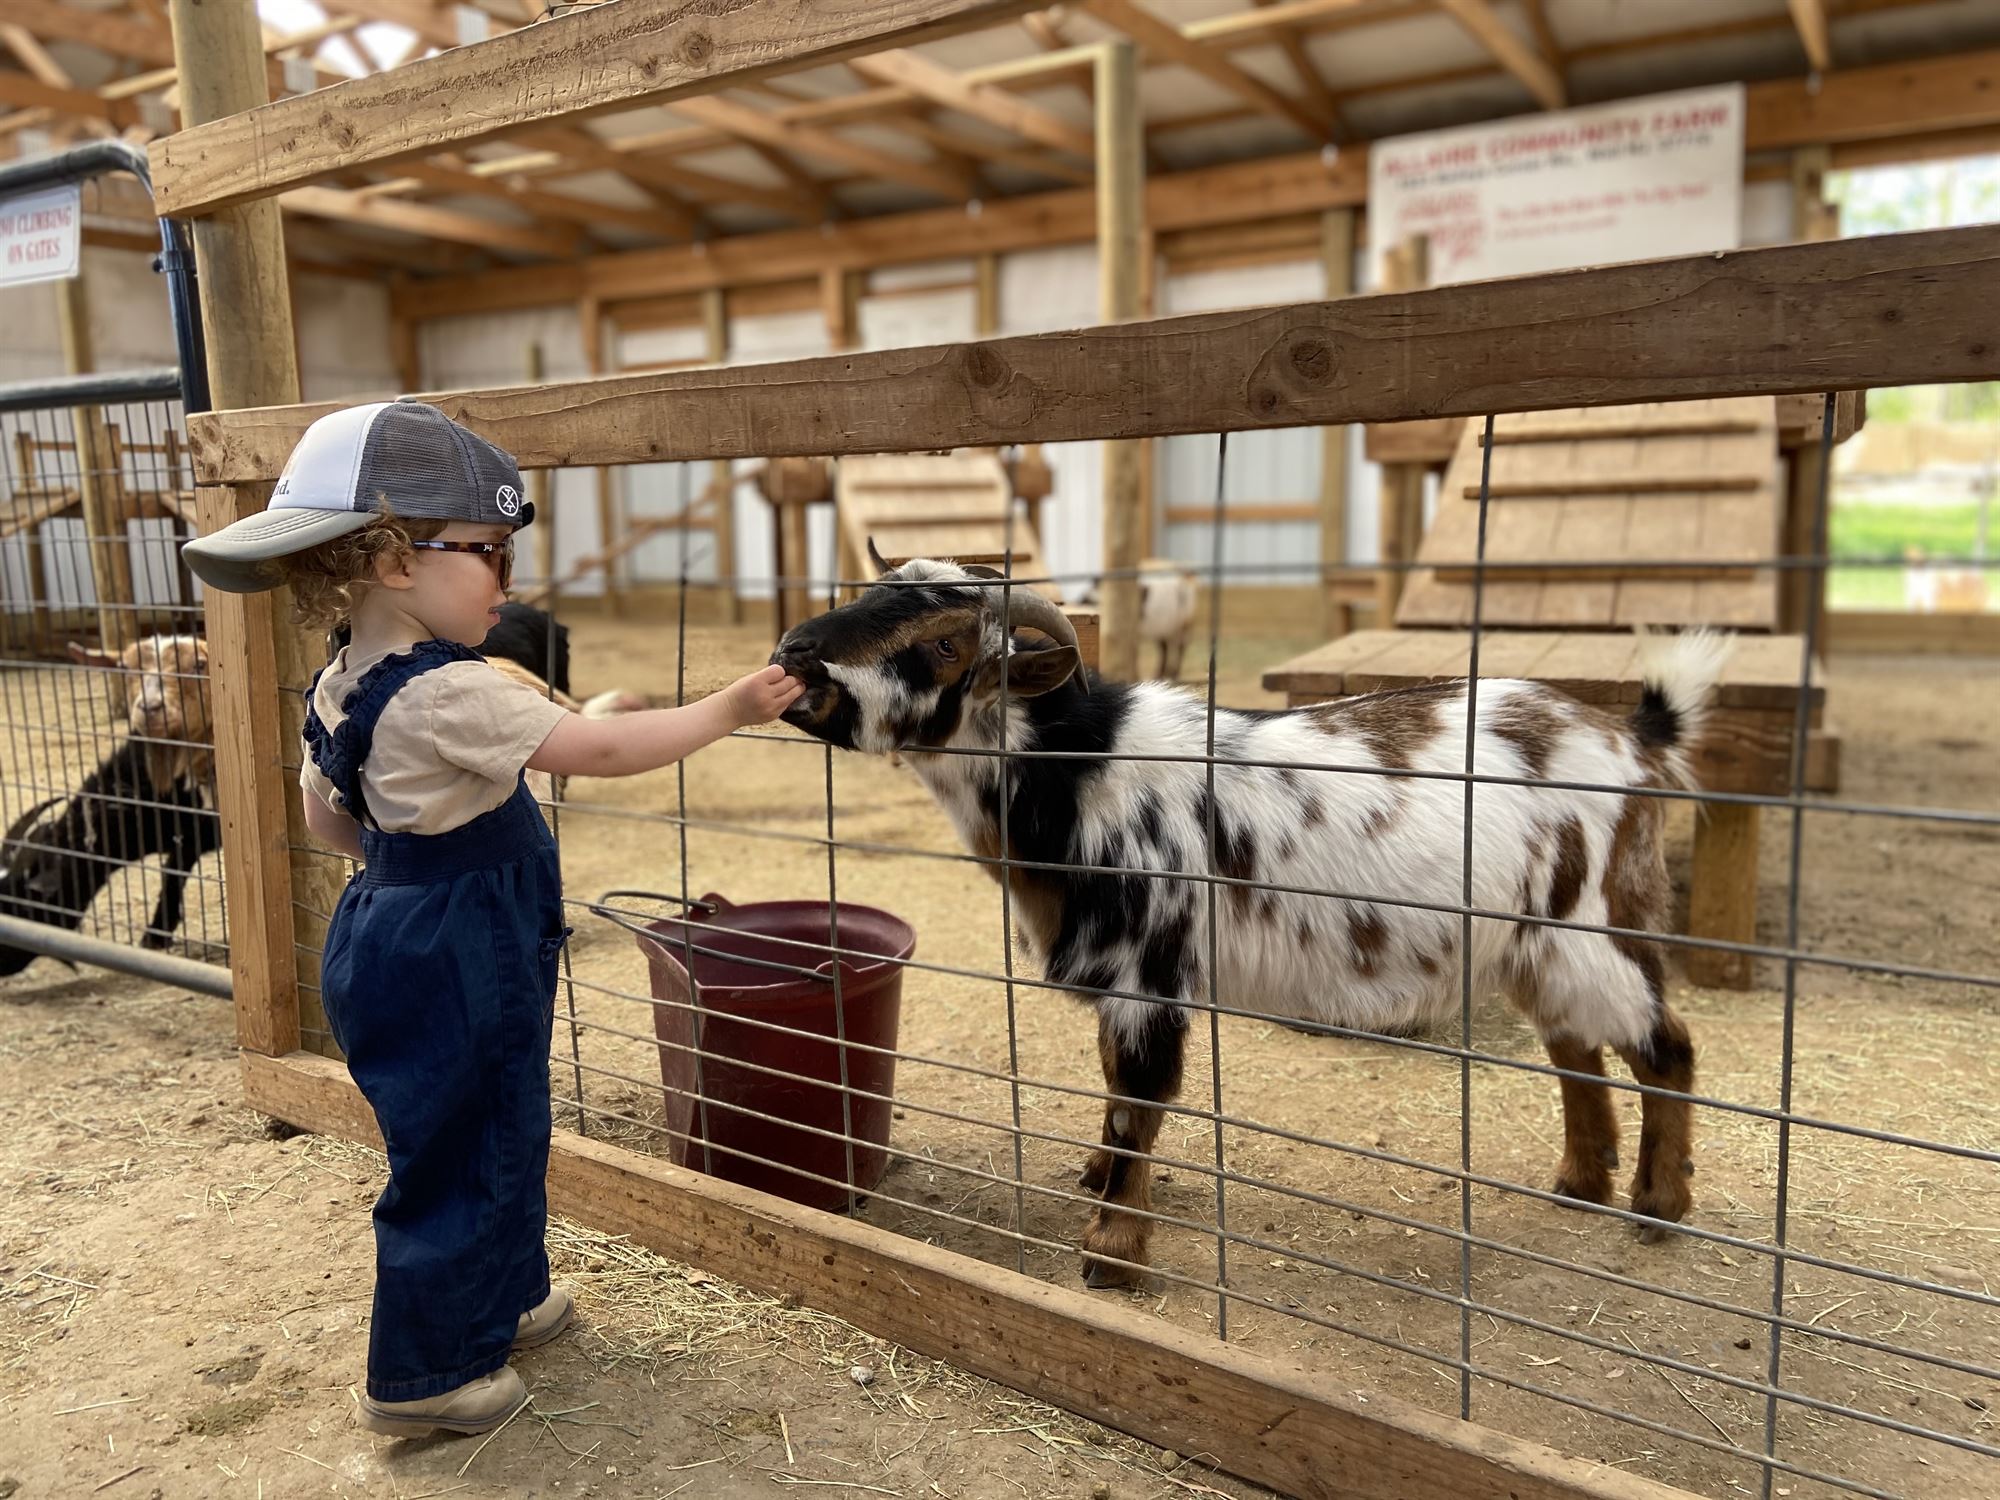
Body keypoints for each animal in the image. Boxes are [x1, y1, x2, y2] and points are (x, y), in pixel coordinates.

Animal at [772, 560, 1728, 1288]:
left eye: (944, 643)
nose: (794, 656)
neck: (1077, 774)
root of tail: (1636, 738)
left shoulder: (1149, 971)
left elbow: (1140, 1099)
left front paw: (1112, 1249)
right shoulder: (1122, 977)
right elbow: (1113, 1086)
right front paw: (1097, 1178)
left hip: (1592, 922)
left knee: (1666, 1043)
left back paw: (1659, 1208)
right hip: (1534, 942)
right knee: (1576, 1048)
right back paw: (1581, 1182)